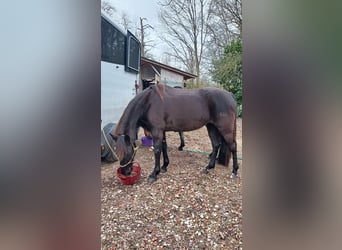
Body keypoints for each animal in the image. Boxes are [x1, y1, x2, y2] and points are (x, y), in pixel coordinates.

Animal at [110, 84, 238, 182]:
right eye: (116, 151)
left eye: (128, 152)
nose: (125, 172)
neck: (148, 102)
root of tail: (229, 95)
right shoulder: (162, 132)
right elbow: (164, 147)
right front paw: (164, 166)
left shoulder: (156, 131)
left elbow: (157, 151)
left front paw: (154, 174)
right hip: (211, 127)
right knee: (216, 145)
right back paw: (208, 168)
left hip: (225, 129)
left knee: (233, 146)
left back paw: (234, 172)